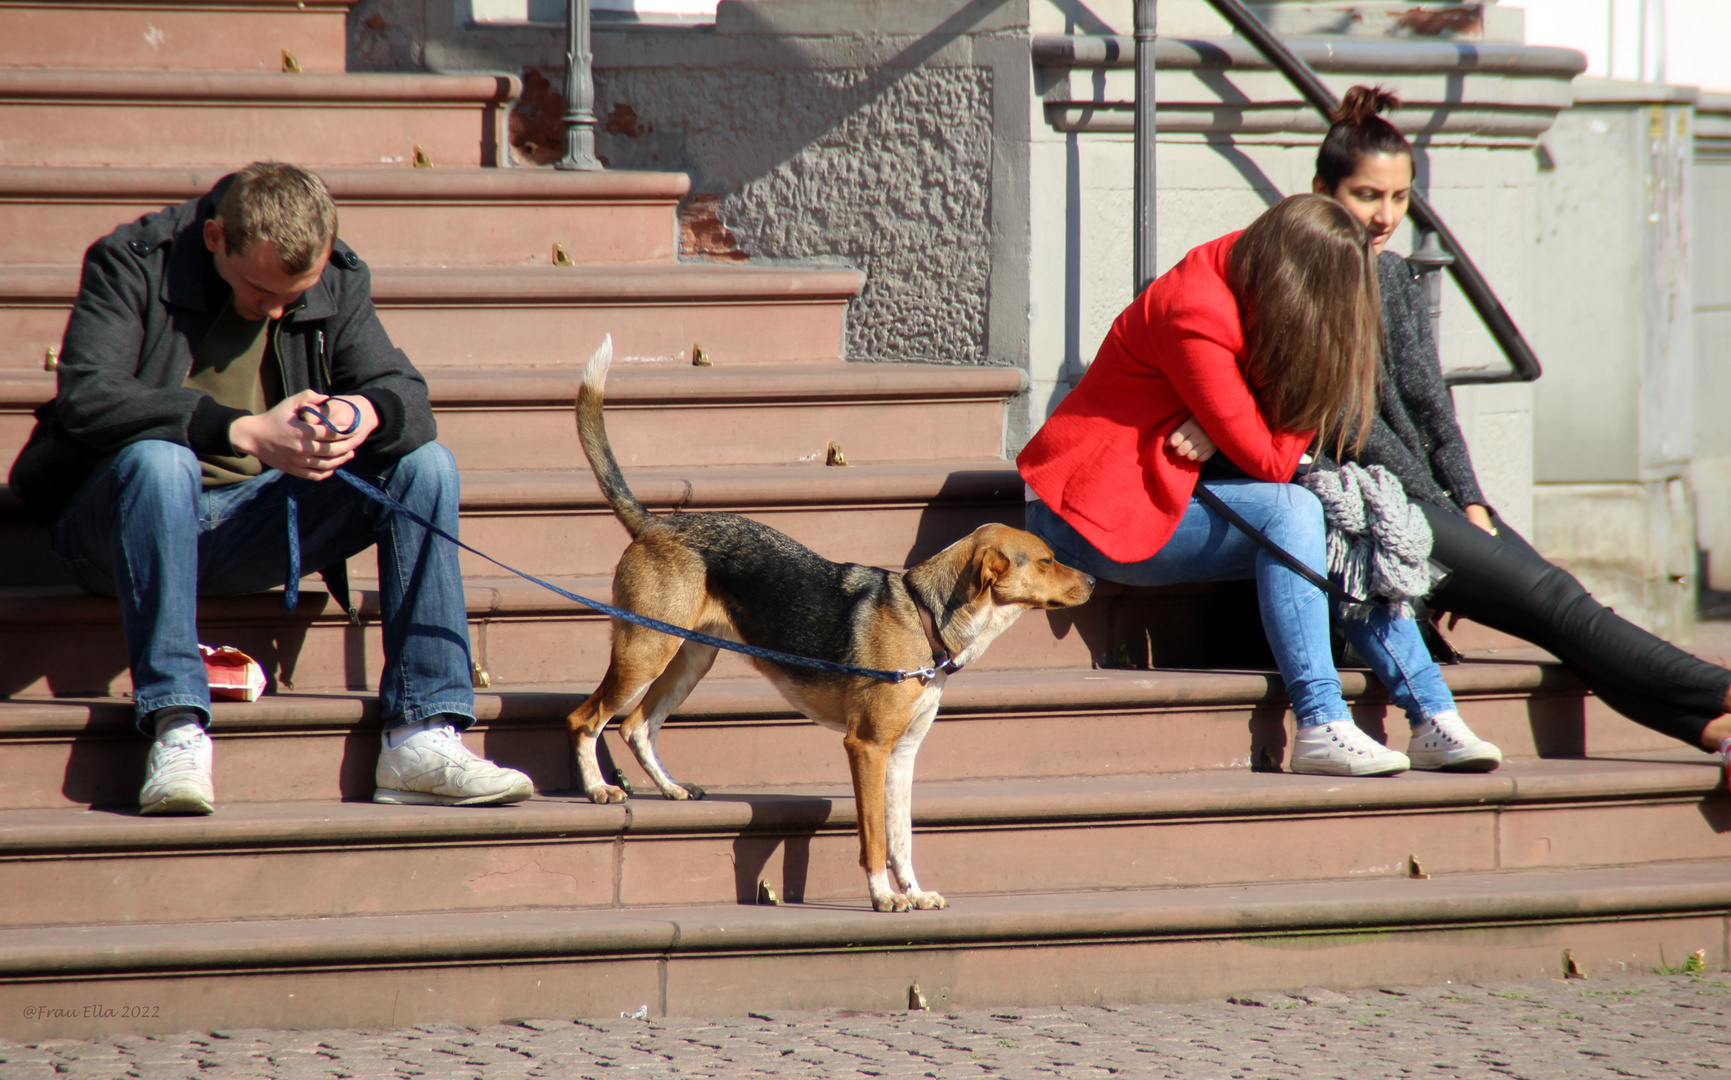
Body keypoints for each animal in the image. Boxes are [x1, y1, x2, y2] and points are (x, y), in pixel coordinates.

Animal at [567, 337, 1093, 913]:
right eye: (1046, 560)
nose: (1093, 581)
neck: (923, 617)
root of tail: (655, 525)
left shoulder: (902, 756)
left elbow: (902, 837)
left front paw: (914, 892)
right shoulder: (866, 748)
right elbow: (875, 837)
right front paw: (884, 897)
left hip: (689, 659)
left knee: (638, 725)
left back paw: (671, 788)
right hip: (644, 652)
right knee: (587, 719)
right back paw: (598, 789)